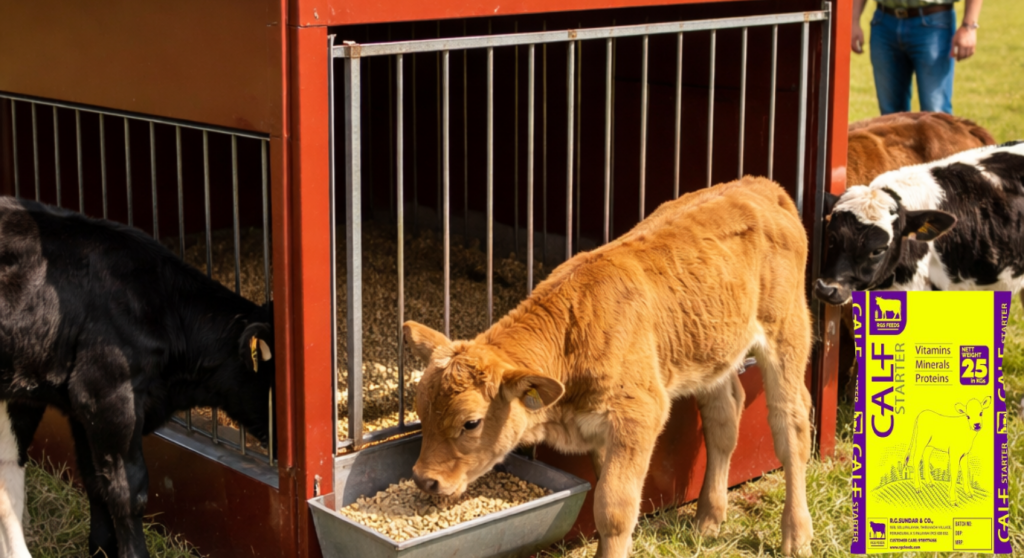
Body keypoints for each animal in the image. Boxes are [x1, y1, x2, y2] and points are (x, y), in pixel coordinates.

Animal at [402, 177, 815, 558]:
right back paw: (707, 520)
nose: (424, 480)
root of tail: (758, 186)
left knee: (791, 424)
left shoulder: (640, 414)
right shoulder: (601, 428)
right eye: (420, 409)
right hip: (711, 349)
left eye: (471, 423)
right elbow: (607, 491)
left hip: (787, 332)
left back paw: (796, 535)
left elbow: (614, 508)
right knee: (723, 418)